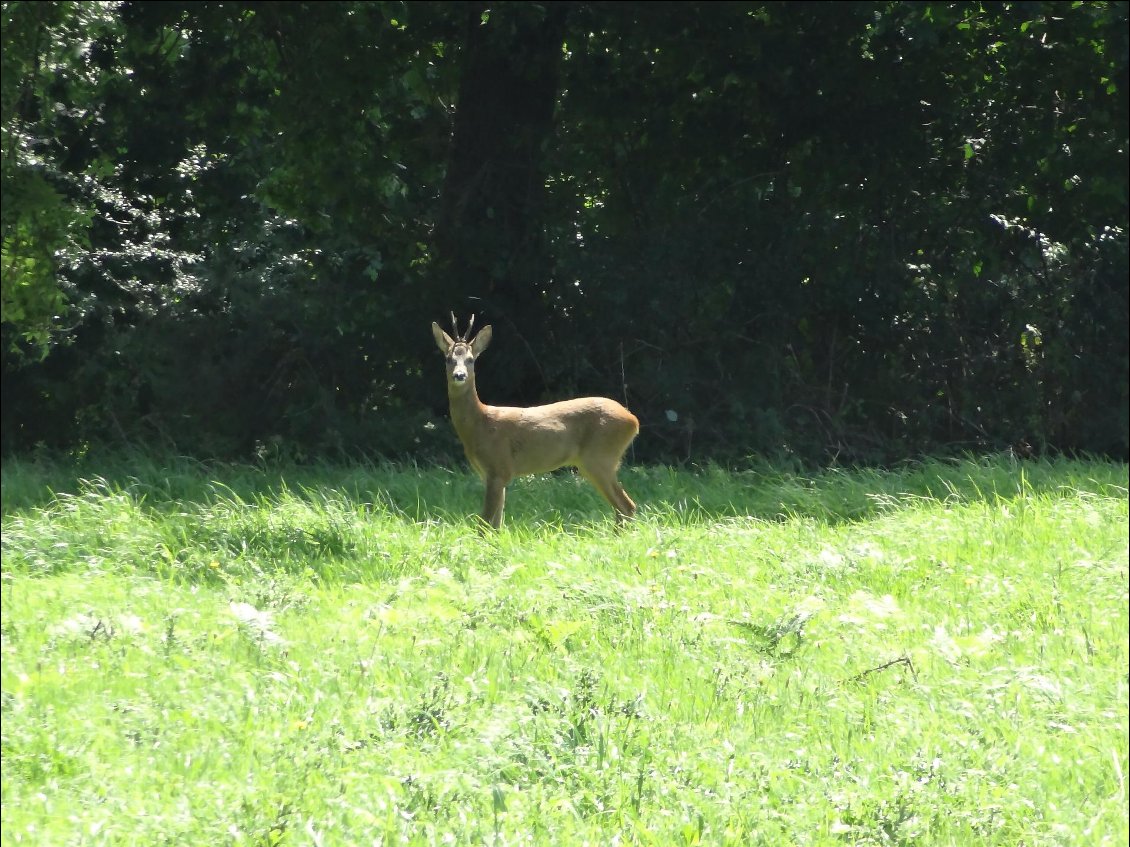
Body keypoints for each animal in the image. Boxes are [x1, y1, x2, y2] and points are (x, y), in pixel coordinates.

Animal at [431, 316, 641, 530]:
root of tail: (633, 420)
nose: (459, 375)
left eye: (470, 359)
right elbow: (496, 523)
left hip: (599, 457)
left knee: (626, 506)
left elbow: (485, 523)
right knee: (622, 508)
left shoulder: (499, 466)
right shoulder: (490, 474)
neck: (480, 424)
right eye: (448, 359)